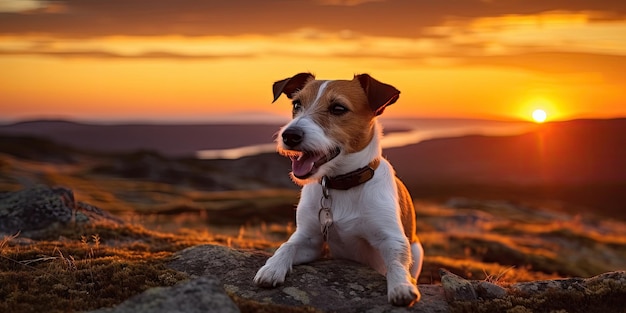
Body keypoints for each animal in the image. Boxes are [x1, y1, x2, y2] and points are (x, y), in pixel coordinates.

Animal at [254, 72, 424, 304]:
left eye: (338, 108)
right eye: (297, 104)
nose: (289, 135)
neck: (341, 183)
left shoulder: (391, 239)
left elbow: (396, 262)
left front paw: (402, 286)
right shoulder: (310, 240)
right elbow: (287, 245)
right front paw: (271, 268)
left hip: (417, 249)